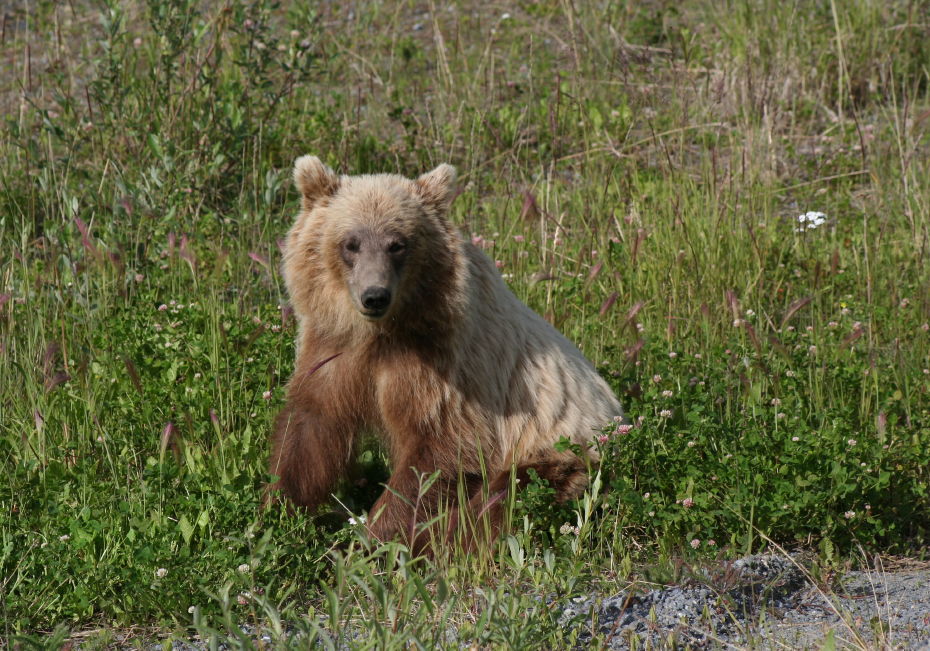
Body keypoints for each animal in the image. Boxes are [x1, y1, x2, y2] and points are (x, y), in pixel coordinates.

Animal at [268, 155, 624, 551]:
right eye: (351, 243)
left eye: (397, 244)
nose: (375, 296)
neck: (382, 333)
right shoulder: (333, 349)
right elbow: (312, 425)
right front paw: (280, 507)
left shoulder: (444, 362)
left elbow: (440, 449)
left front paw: (377, 537)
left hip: (563, 450)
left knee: (506, 495)